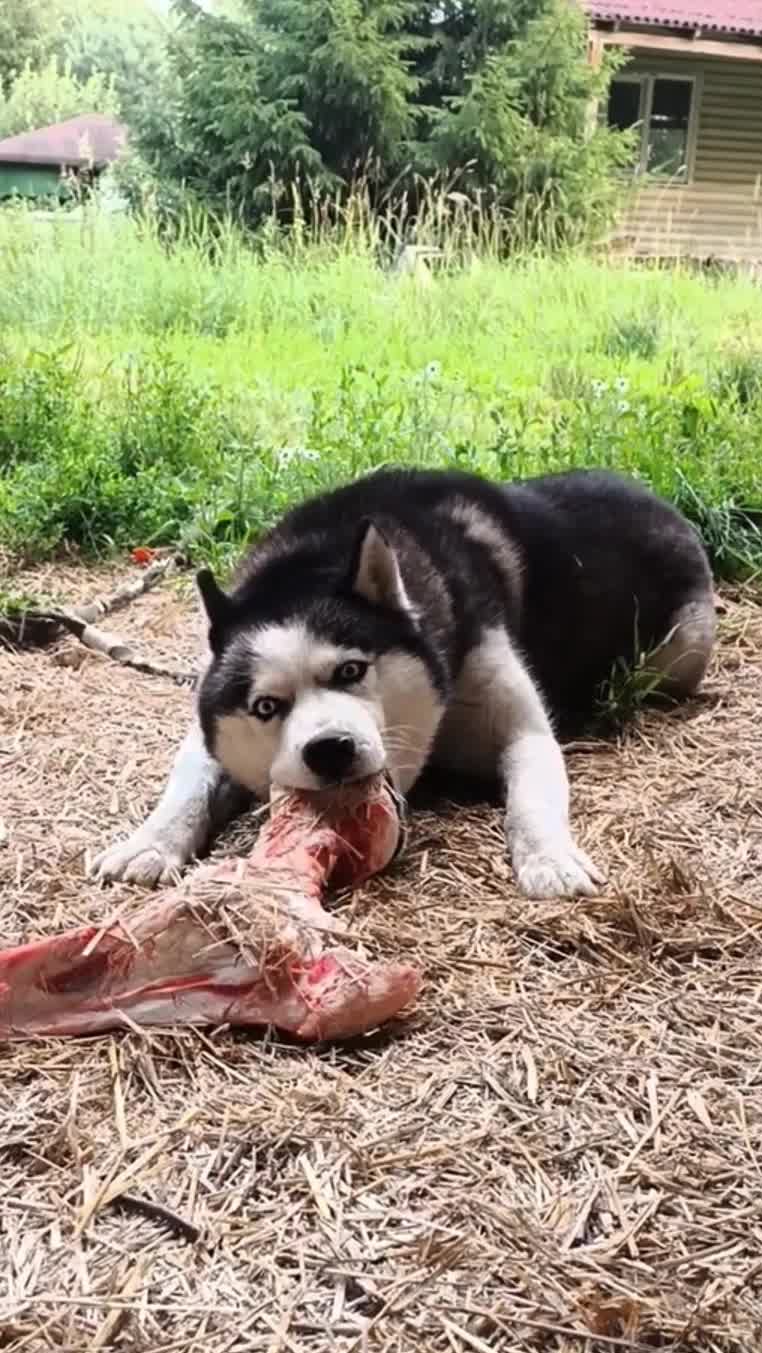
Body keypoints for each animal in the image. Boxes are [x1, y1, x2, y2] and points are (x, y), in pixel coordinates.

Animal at [92, 465, 720, 898]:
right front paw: (147, 844)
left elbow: (532, 794)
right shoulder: (208, 730)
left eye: (351, 671)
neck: (313, 559)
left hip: (682, 647)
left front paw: (550, 860)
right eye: (267, 707)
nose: (329, 749)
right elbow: (188, 783)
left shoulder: (520, 725)